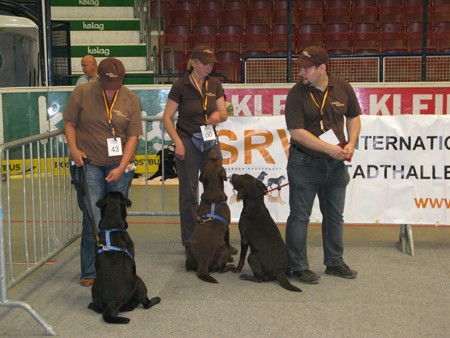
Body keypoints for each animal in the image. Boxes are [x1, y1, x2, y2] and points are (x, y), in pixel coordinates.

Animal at [87, 191, 160, 324]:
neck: (111, 227)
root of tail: (114, 301)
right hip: (139, 282)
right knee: (146, 304)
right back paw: (156, 299)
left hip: (94, 290)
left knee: (98, 309)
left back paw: (90, 305)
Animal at [185, 150, 236, 282]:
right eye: (218, 162)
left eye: (209, 161)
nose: (212, 152)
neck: (213, 192)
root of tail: (203, 261)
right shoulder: (227, 228)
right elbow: (228, 243)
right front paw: (231, 258)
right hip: (222, 250)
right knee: (221, 268)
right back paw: (231, 265)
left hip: (189, 249)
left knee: (187, 265)